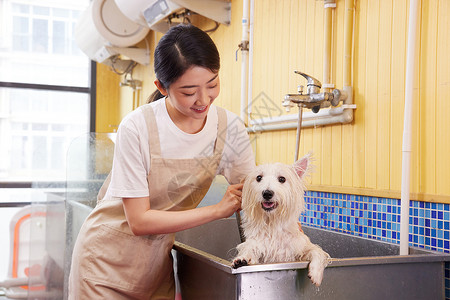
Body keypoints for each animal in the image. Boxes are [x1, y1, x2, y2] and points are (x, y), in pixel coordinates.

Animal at [232, 155, 330, 286]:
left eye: (282, 179)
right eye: (259, 177)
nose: (267, 193)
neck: (273, 223)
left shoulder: (299, 248)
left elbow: (317, 251)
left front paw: (316, 274)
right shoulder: (257, 245)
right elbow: (249, 248)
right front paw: (241, 259)